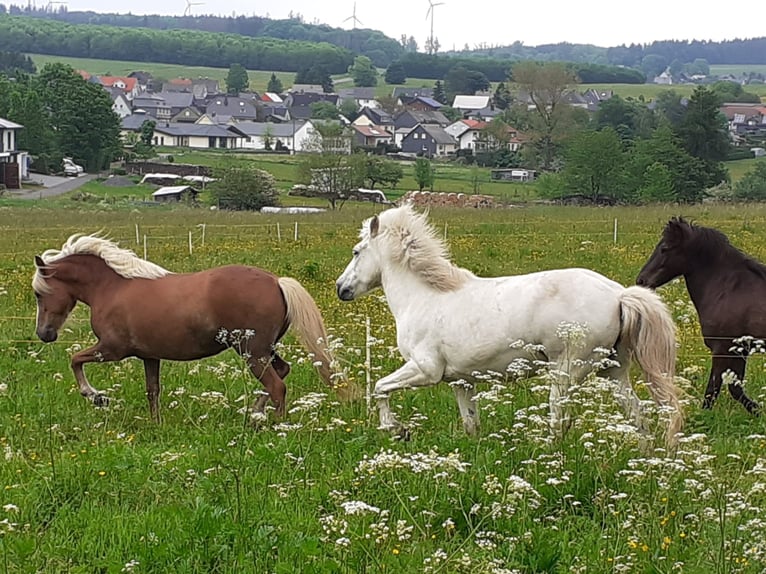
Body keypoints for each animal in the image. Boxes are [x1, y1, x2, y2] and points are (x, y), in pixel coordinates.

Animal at [32, 234, 350, 422]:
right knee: (281, 372)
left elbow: (75, 359)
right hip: (265, 350)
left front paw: (96, 396)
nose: (44, 334)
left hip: (252, 352)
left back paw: (275, 425)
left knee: (277, 386)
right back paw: (256, 415)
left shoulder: (111, 349)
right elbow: (152, 390)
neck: (112, 287)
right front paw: (155, 424)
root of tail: (277, 282)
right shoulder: (149, 356)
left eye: (38, 293)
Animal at [336, 205, 684, 446]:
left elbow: (380, 388)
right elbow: (471, 423)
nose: (342, 289)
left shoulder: (425, 369)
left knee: (560, 421)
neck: (426, 297)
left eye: (356, 251)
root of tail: (619, 295)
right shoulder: (461, 381)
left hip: (567, 372)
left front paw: (397, 430)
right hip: (613, 371)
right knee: (636, 414)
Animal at [637, 217, 763, 415]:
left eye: (664, 248)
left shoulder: (722, 349)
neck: (730, 289)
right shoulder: (739, 350)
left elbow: (714, 391)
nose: (641, 280)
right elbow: (734, 389)